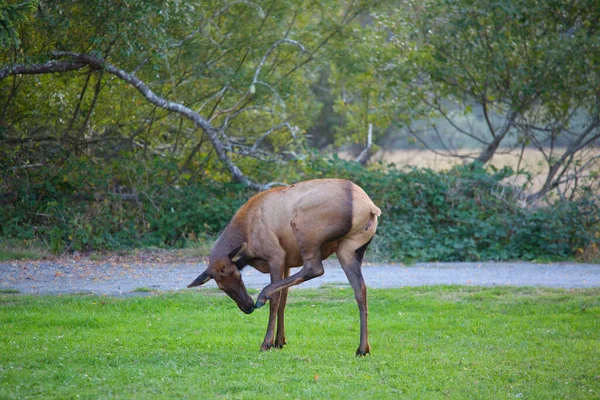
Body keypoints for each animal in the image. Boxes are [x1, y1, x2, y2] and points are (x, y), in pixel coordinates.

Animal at [188, 180, 380, 354]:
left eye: (239, 275)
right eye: (221, 287)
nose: (248, 306)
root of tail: (370, 207)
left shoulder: (277, 255)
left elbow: (275, 300)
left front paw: (267, 342)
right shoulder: (287, 263)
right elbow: (283, 301)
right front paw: (280, 340)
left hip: (304, 228)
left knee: (315, 268)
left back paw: (262, 296)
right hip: (349, 249)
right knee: (360, 290)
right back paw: (363, 348)